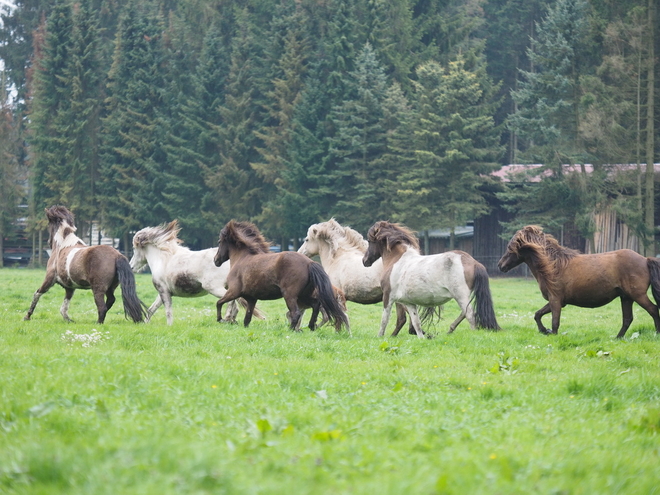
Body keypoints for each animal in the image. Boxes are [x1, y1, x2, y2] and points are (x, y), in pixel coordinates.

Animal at [129, 221, 262, 326]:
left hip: (214, 288)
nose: (131, 266)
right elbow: (152, 309)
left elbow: (168, 311)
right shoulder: (164, 292)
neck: (163, 259)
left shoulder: (164, 292)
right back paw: (231, 320)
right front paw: (145, 323)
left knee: (231, 302)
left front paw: (169, 326)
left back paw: (228, 318)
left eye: (134, 249)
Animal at [215, 221, 350, 334]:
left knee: (295, 313)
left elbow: (219, 302)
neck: (242, 259)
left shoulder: (233, 291)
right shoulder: (251, 299)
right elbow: (247, 319)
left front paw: (220, 319)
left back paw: (291, 330)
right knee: (315, 305)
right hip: (304, 295)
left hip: (290, 295)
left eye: (220, 242)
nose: (216, 260)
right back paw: (311, 326)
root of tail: (309, 263)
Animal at [360, 223, 500, 340]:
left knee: (470, 314)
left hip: (461, 295)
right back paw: (451, 329)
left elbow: (384, 319)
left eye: (369, 241)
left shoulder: (388, 297)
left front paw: (379, 336)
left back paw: (472, 334)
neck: (397, 260)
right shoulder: (408, 302)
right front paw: (421, 338)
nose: (364, 261)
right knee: (465, 313)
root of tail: (473, 262)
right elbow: (416, 322)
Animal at [498, 226, 660, 340]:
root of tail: (645, 260)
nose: (500, 265)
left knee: (653, 309)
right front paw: (543, 330)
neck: (553, 265)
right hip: (626, 297)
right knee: (628, 319)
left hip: (637, 295)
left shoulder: (555, 300)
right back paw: (617, 338)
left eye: (510, 248)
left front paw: (550, 333)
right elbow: (537, 314)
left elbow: (555, 322)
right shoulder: (557, 301)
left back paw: (656, 334)